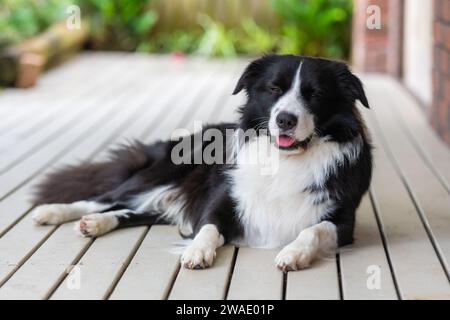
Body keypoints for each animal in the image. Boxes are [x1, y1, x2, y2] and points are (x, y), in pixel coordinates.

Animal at [29, 54, 370, 270]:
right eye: (274, 89)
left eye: (315, 94)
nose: (285, 119)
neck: (284, 159)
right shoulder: (221, 201)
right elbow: (208, 226)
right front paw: (197, 250)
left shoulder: (344, 222)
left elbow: (313, 231)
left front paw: (293, 253)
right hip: (159, 175)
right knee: (104, 198)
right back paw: (53, 212)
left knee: (131, 210)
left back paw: (97, 224)